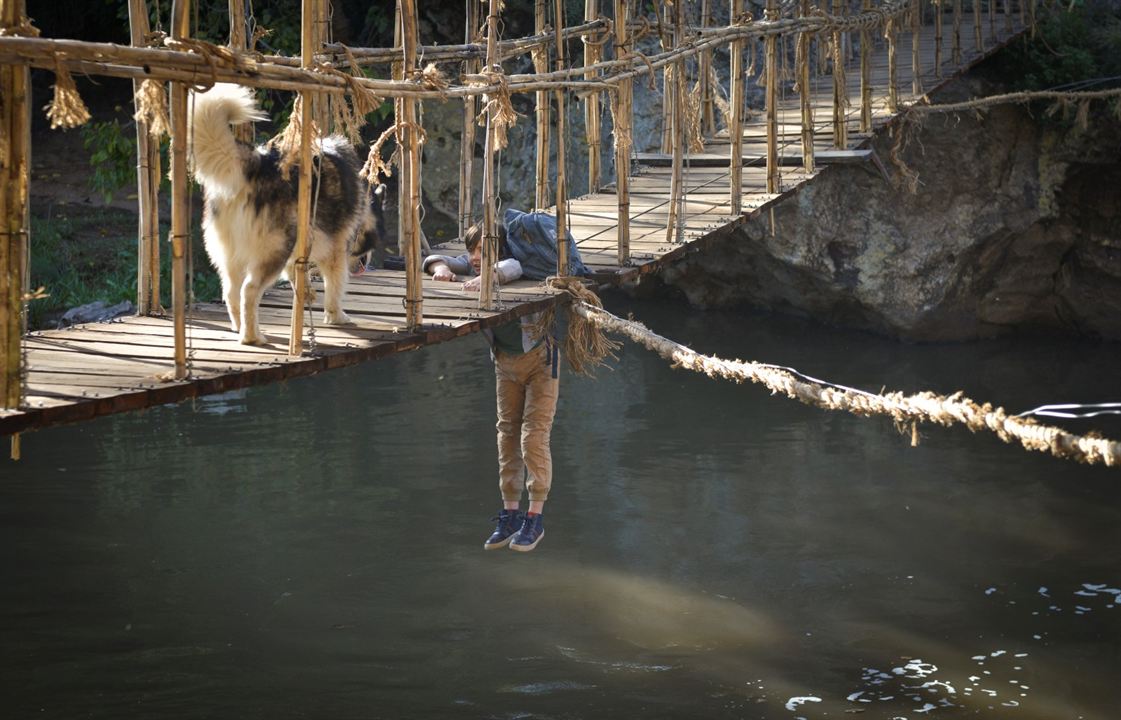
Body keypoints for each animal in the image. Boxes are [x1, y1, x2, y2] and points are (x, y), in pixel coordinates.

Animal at [186, 82, 374, 343]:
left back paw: (241, 328)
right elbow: (335, 288)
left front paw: (306, 293)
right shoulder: (335, 253)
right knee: (249, 290)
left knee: (231, 292)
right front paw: (337, 316)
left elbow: (298, 275)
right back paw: (252, 337)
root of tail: (257, 164)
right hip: (273, 251)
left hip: (231, 255)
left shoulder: (298, 252)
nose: (364, 264)